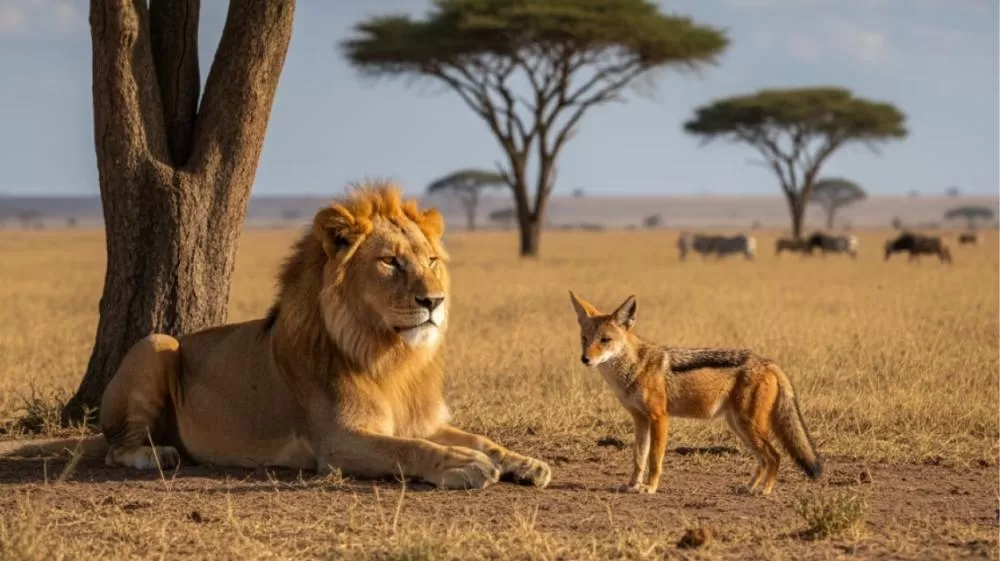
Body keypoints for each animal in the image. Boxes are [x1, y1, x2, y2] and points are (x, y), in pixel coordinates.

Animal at [18, 183, 551, 490]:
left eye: (433, 260)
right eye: (390, 262)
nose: (434, 301)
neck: (391, 356)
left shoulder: (418, 419)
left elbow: (480, 437)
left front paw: (524, 462)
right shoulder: (337, 442)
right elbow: (410, 450)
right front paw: (465, 466)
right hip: (157, 343)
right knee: (116, 448)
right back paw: (155, 454)